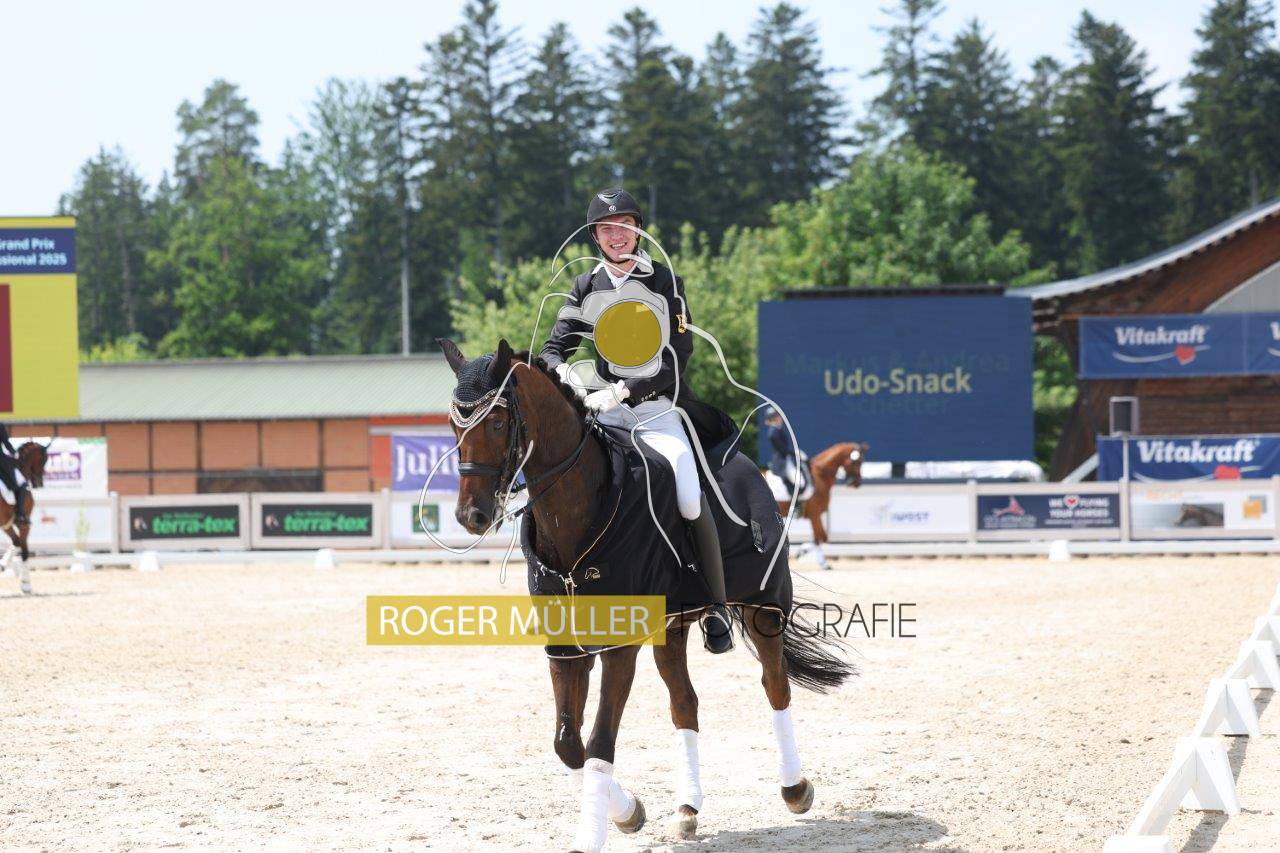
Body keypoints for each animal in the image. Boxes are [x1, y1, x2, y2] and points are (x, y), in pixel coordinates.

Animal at [2, 440, 50, 594]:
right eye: (43, 460)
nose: (39, 483)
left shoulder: (6, 524)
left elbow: (16, 542)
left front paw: (2, 564)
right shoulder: (24, 524)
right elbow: (24, 551)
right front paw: (26, 584)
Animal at [439, 338, 855, 851]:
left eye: (497, 422)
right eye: (454, 425)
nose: (471, 516)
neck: (578, 510)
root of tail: (749, 469)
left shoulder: (620, 648)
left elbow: (599, 741)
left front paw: (592, 834)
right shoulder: (565, 648)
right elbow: (568, 744)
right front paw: (628, 812)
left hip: (764, 608)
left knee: (775, 687)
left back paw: (794, 788)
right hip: (671, 629)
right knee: (684, 704)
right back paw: (687, 808)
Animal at [771, 442, 868, 570]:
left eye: (862, 461)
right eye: (855, 462)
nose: (857, 483)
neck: (821, 475)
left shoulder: (817, 515)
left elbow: (823, 537)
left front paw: (805, 551)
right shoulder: (814, 514)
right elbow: (818, 539)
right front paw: (821, 562)